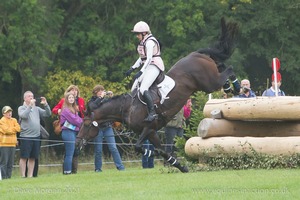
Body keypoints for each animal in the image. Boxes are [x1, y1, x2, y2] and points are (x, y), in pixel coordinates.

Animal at [77, 18, 239, 173]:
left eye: (86, 124)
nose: (78, 142)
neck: (128, 108)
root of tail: (196, 54)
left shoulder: (149, 127)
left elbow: (139, 147)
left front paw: (152, 154)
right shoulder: (152, 132)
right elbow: (162, 151)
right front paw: (180, 166)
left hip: (209, 83)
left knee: (229, 69)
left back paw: (236, 88)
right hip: (209, 78)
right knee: (222, 66)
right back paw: (228, 87)